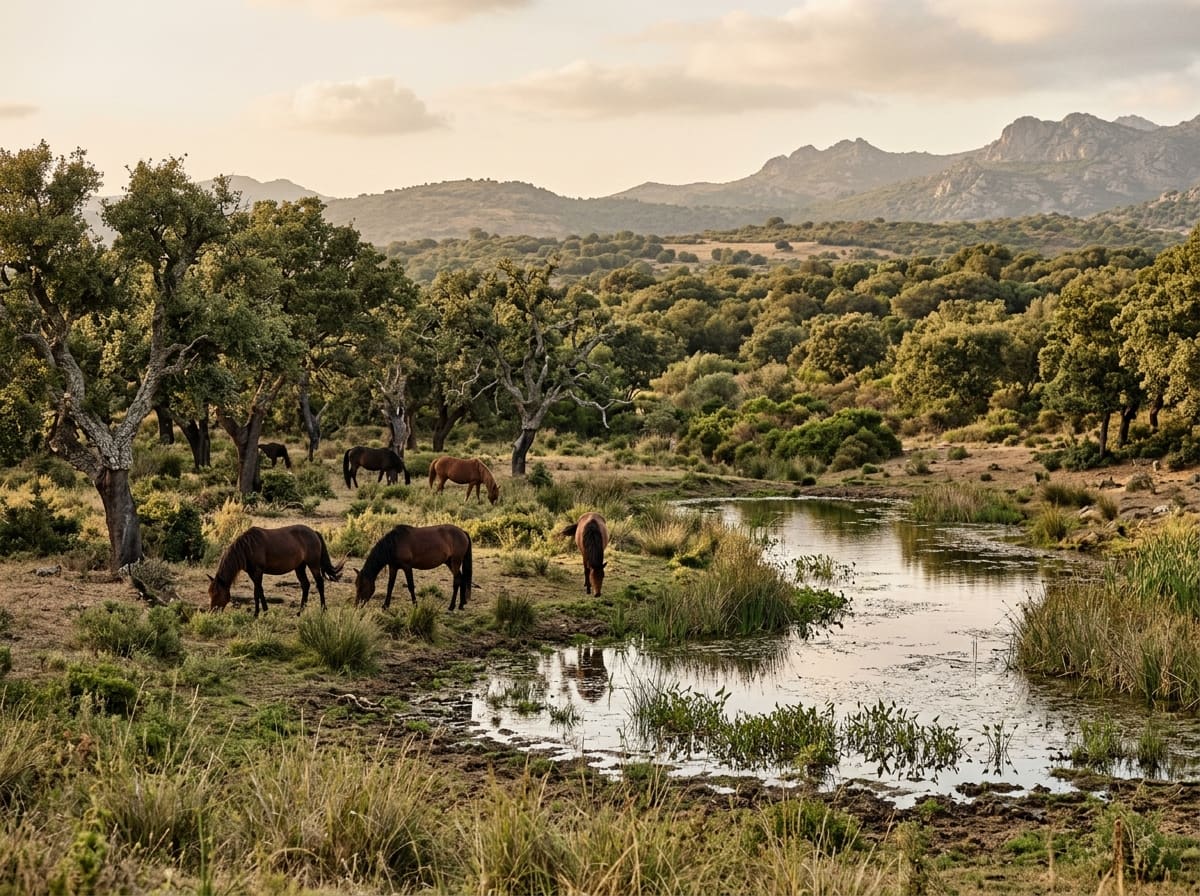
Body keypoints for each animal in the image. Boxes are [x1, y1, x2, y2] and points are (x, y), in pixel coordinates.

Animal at [207, 524, 343, 616]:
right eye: (210, 593)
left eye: (217, 593)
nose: (212, 612)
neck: (247, 548)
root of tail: (313, 532)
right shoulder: (252, 573)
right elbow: (260, 591)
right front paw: (263, 611)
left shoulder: (258, 572)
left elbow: (257, 592)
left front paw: (258, 613)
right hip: (300, 567)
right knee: (306, 585)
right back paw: (300, 612)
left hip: (313, 565)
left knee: (320, 583)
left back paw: (323, 609)